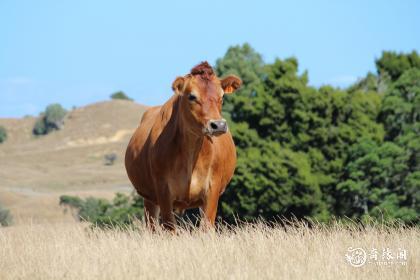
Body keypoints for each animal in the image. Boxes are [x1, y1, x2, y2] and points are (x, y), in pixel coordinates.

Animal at [124, 62, 241, 231]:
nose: (218, 125)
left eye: (222, 96)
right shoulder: (163, 191)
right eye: (192, 96)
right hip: (149, 199)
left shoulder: (212, 190)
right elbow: (170, 228)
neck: (191, 153)